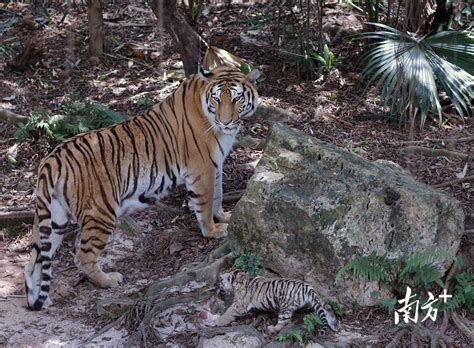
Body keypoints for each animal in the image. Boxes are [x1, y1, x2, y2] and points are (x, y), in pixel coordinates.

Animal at [24, 65, 262, 310]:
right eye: (217, 99)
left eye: (237, 98)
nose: (225, 122)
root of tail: (51, 160)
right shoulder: (202, 168)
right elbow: (205, 203)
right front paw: (213, 231)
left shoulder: (215, 166)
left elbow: (218, 194)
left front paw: (225, 217)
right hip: (101, 213)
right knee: (83, 256)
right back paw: (108, 280)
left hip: (54, 219)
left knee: (33, 261)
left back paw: (37, 299)